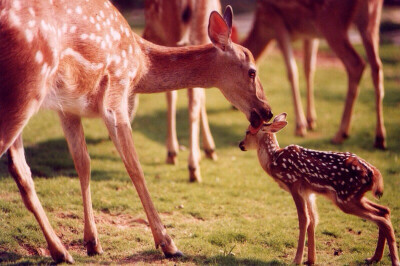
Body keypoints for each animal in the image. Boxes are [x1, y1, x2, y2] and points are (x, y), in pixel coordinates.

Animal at [242, 0, 386, 150]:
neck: (263, 25)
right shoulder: (309, 34)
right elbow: (309, 68)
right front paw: (311, 121)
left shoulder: (277, 20)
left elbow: (292, 71)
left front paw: (300, 127)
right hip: (370, 21)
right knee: (377, 67)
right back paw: (379, 138)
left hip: (330, 21)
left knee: (356, 64)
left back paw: (340, 134)